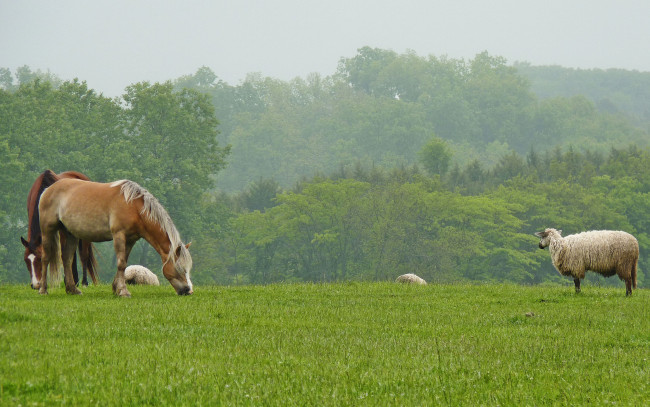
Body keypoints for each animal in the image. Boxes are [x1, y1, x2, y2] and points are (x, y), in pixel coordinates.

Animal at [37, 178, 192, 296]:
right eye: (180, 268)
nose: (188, 290)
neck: (133, 206)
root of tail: (48, 189)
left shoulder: (130, 240)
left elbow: (123, 263)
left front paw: (116, 288)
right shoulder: (119, 235)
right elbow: (121, 263)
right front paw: (123, 291)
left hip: (71, 234)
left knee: (67, 259)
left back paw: (72, 290)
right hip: (47, 230)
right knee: (46, 257)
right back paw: (43, 289)